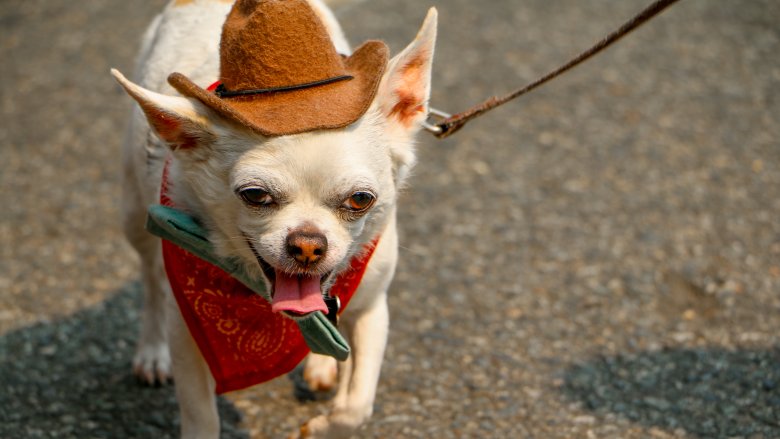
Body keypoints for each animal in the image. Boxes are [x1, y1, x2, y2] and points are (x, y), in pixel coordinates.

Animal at [112, 0, 436, 438]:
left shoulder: (371, 310)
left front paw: (320, 425)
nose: (308, 244)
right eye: (255, 196)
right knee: (150, 280)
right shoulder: (188, 335)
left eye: (360, 200)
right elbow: (200, 415)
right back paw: (150, 351)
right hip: (136, 215)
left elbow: (356, 406)